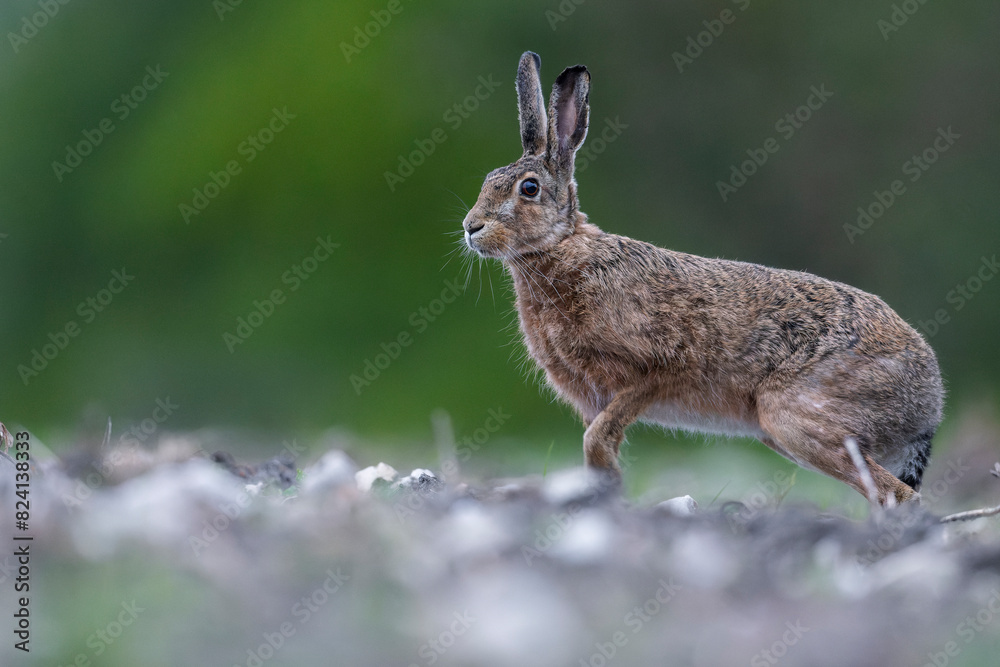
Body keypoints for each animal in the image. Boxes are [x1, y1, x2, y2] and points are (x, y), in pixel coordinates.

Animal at [461, 52, 944, 506]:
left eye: (529, 188)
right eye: (487, 180)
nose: (470, 227)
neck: (562, 248)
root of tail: (930, 400)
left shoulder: (660, 370)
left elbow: (598, 438)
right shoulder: (595, 398)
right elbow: (601, 446)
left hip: (793, 417)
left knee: (900, 495)